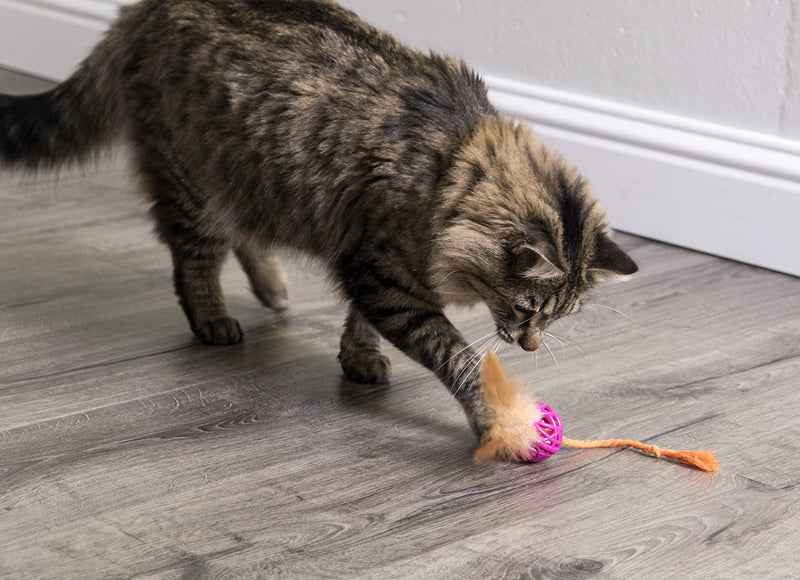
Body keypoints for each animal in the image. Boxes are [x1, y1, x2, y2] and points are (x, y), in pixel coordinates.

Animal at [0, 0, 636, 440]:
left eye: (556, 319)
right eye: (528, 310)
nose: (530, 346)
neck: (450, 170)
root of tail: (141, 10)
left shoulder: (371, 262)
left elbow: (359, 322)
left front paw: (357, 359)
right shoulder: (385, 276)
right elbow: (459, 358)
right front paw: (494, 421)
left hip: (253, 180)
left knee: (242, 237)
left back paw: (273, 289)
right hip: (193, 181)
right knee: (193, 259)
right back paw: (213, 319)